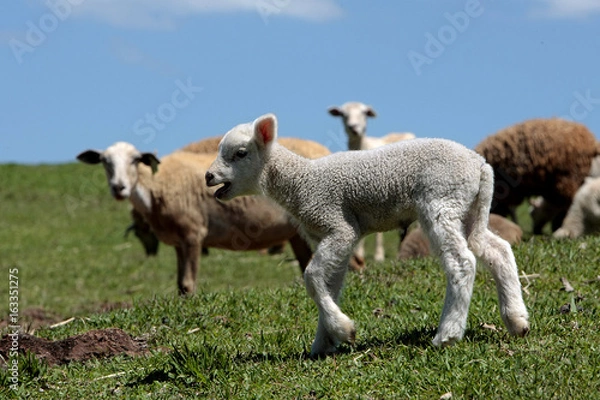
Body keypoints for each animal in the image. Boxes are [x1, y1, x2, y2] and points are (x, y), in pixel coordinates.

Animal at [78, 142, 316, 296]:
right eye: (104, 161)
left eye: (136, 160)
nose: (119, 188)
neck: (154, 190)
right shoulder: (179, 241)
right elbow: (179, 285)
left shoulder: (193, 234)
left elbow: (188, 283)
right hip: (296, 234)